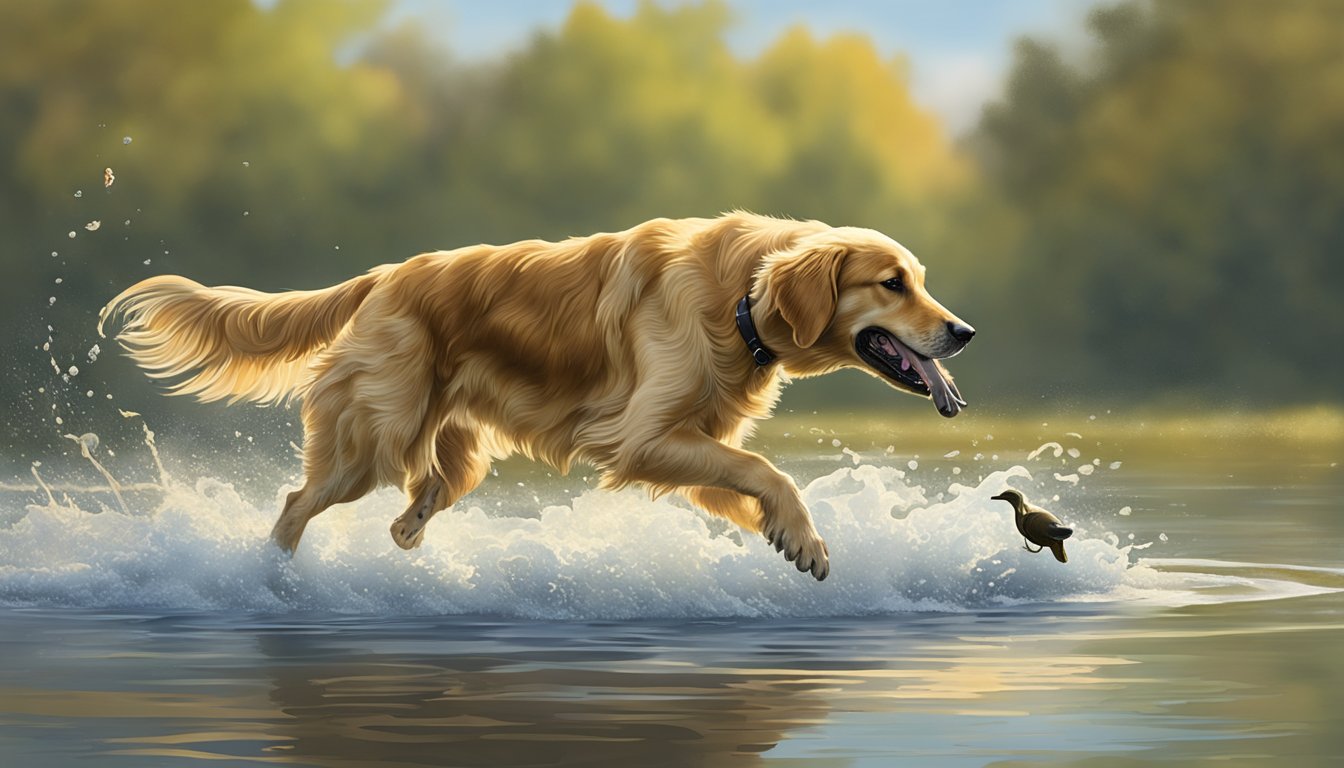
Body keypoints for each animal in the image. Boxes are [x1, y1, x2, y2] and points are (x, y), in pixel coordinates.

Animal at [99, 213, 973, 581]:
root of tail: (386, 276)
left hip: (453, 452)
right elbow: (770, 471)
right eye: (891, 284)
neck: (741, 297)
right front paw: (806, 539)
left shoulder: (692, 444)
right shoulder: (641, 437)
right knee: (293, 504)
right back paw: (273, 580)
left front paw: (794, 537)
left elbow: (751, 478)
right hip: (368, 442)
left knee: (418, 501)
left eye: (921, 281)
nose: (963, 331)